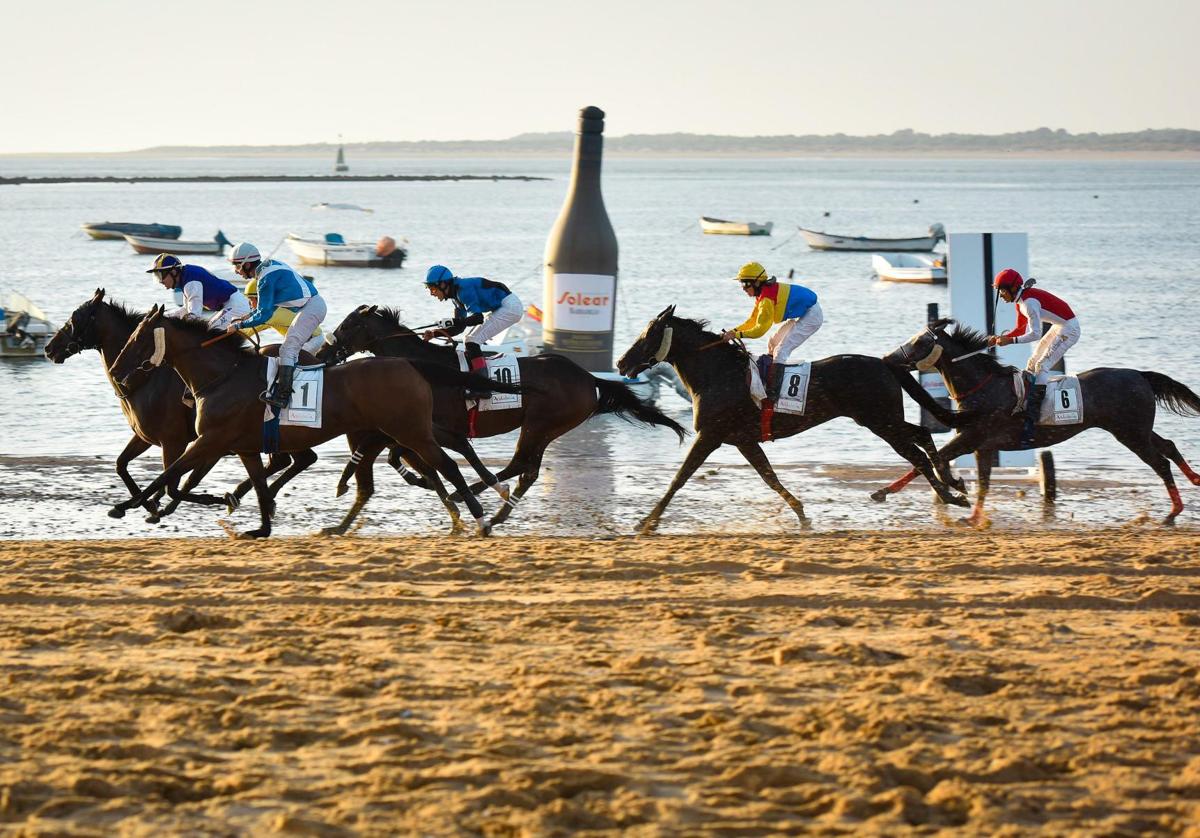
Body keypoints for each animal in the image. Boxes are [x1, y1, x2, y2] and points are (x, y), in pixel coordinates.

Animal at [111, 304, 520, 535]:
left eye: (138, 337)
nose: (117, 370)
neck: (223, 375)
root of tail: (409, 362)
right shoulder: (242, 446)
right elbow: (257, 484)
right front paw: (259, 526)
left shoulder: (210, 440)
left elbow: (168, 475)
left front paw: (128, 506)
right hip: (407, 428)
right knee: (446, 454)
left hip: (409, 430)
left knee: (446, 464)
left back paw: (481, 517)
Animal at [312, 303, 686, 525]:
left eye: (346, 326)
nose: (323, 353)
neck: (423, 364)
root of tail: (587, 377)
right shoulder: (421, 426)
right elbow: (400, 456)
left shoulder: (427, 426)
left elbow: (403, 454)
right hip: (546, 428)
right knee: (527, 470)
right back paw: (495, 509)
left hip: (541, 424)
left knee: (521, 465)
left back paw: (485, 497)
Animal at [614, 303, 969, 533]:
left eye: (647, 335)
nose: (620, 363)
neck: (719, 374)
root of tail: (884, 362)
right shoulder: (742, 440)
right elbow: (769, 476)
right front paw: (801, 514)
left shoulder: (710, 436)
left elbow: (679, 478)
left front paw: (648, 521)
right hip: (880, 420)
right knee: (922, 434)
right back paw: (952, 484)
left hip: (880, 421)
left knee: (918, 451)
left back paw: (949, 495)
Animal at [883, 319, 1200, 523]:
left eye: (920, 341)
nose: (887, 357)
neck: (984, 387)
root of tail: (1140, 374)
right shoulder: (983, 446)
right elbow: (980, 481)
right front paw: (971, 513)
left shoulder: (972, 438)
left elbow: (932, 459)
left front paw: (950, 487)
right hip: (1138, 429)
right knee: (1169, 446)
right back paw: (1194, 480)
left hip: (1130, 433)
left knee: (1161, 463)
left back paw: (1172, 512)